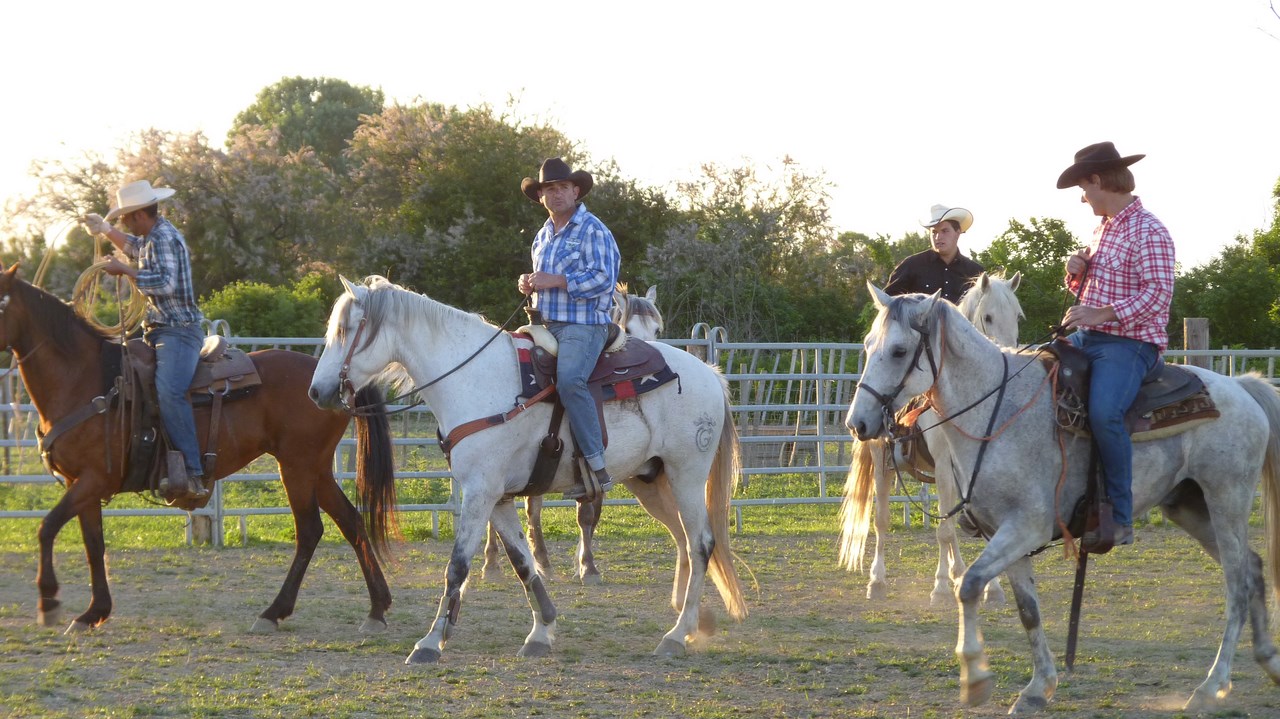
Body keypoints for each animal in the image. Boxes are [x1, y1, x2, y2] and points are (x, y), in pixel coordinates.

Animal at [0, 264, 396, 632]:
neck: (87, 381)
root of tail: (332, 381)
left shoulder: (94, 478)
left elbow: (47, 526)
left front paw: (49, 601)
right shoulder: (80, 482)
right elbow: (92, 543)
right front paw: (93, 612)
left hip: (297, 466)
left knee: (310, 530)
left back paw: (273, 612)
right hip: (316, 468)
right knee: (351, 521)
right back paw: (376, 608)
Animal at [478, 280, 660, 583]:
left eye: (657, 329)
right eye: (630, 329)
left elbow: (592, 513)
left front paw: (581, 561)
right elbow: (584, 514)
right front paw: (588, 566)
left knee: (532, 508)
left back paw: (541, 559)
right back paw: (493, 562)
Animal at [839, 271, 1029, 601]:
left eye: (1017, 316)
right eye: (988, 317)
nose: (1008, 355)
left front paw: (990, 587)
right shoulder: (943, 466)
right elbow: (945, 531)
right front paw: (941, 586)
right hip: (882, 461)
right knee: (882, 520)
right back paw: (878, 580)